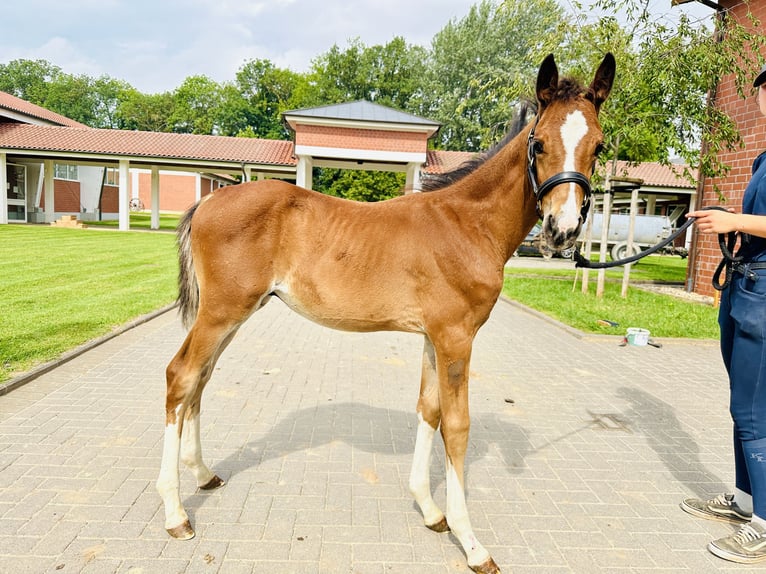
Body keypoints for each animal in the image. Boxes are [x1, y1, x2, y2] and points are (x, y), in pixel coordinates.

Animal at [156, 53, 615, 574]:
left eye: (599, 146)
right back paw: (176, 514)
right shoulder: (456, 336)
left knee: (200, 379)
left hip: (232, 315)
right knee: (181, 376)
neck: (467, 225)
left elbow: (428, 410)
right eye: (538, 144)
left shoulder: (434, 336)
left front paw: (431, 510)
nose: (563, 229)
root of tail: (211, 197)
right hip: (221, 311)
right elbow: (457, 427)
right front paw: (471, 543)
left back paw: (203, 474)